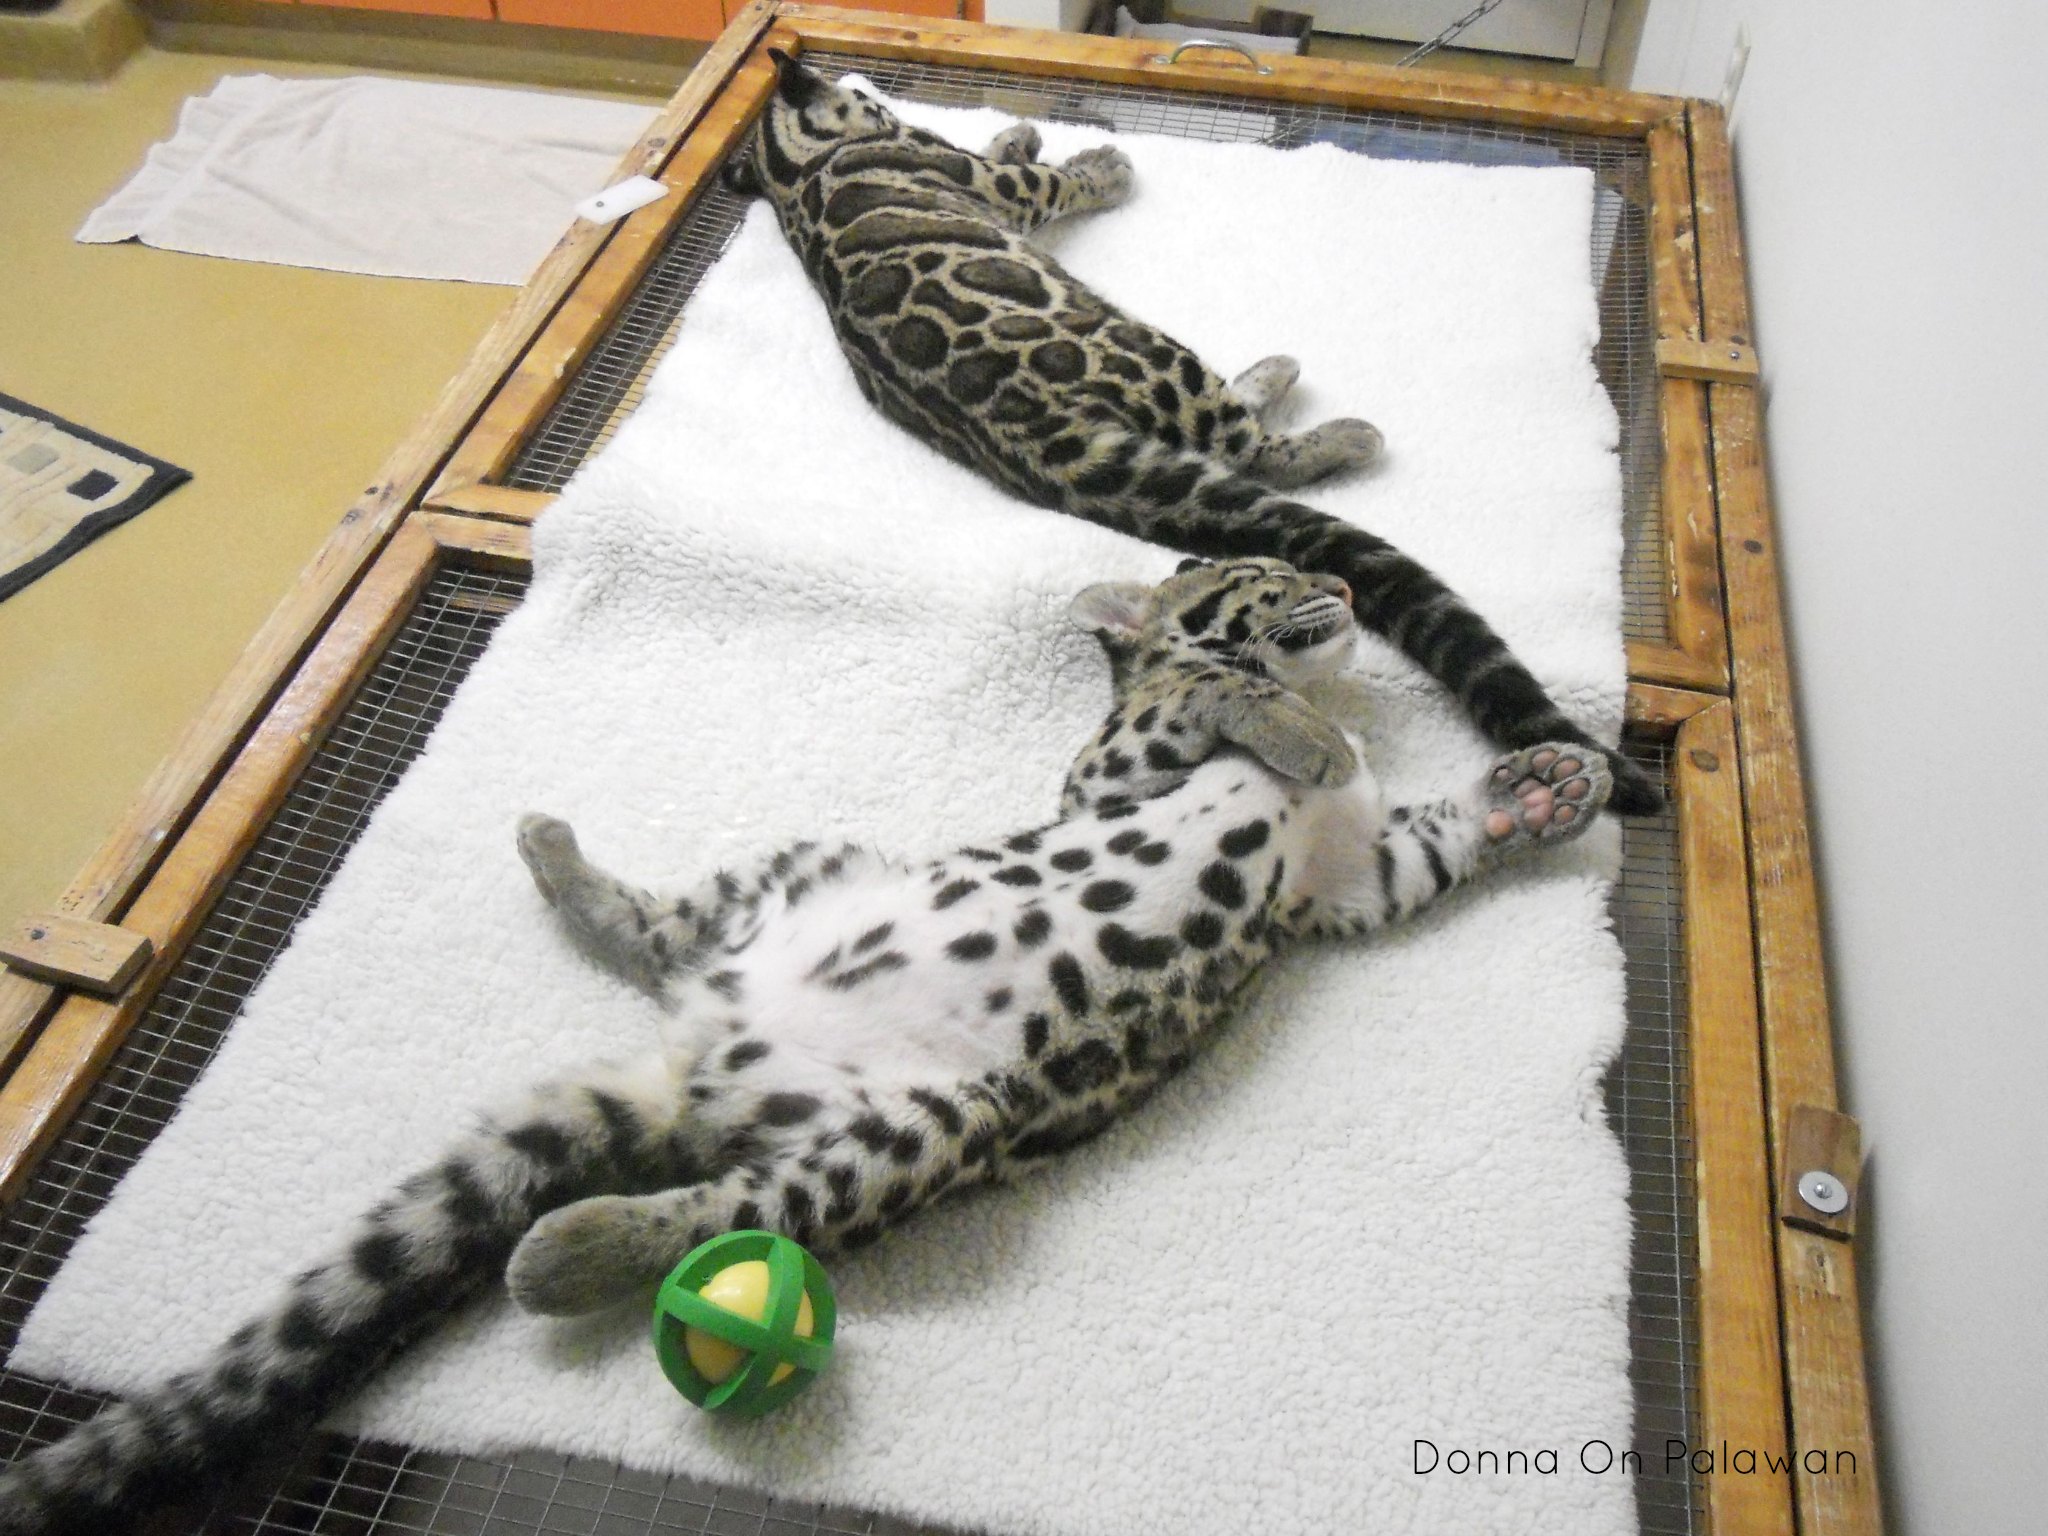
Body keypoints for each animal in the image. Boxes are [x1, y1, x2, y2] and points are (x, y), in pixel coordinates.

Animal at [0, 561, 1605, 1531]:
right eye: (1262, 579)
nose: (1343, 584)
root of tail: (697, 1071)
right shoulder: (1118, 772)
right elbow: (1213, 694)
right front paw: (1302, 727)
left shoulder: (1345, 884)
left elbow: (1426, 840)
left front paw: (1537, 792)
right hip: (848, 941)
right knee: (690, 1079)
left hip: (920, 1104)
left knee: (721, 1178)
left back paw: (566, 1185)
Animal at [737, 48, 1662, 823]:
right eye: (856, 91)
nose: (857, 88)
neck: (796, 175)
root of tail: (1046, 440)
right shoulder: (992, 187)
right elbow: (1041, 179)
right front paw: (1091, 163)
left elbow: (1008, 149)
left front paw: (1020, 124)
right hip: (1153, 352)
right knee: (1243, 443)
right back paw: (1319, 411)